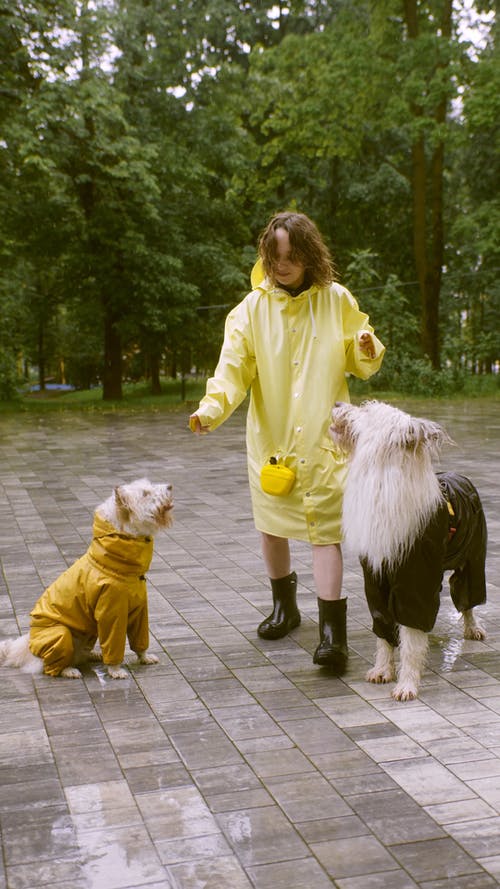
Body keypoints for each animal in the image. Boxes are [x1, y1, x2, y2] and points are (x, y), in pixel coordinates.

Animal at [0, 478, 174, 680]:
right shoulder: (111, 614)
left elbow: (140, 638)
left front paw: (144, 657)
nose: (170, 486)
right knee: (50, 666)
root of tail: (27, 648)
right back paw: (68, 670)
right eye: (145, 493)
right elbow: (114, 643)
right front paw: (115, 670)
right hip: (60, 634)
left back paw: (94, 655)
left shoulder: (139, 610)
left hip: (88, 633)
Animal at [330, 402, 486, 700]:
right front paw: (382, 670)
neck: (383, 482)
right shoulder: (376, 578)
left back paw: (473, 628)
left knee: (468, 598)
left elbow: (412, 638)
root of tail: (459, 475)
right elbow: (383, 629)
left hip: (473, 558)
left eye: (367, 410)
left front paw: (407, 684)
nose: (337, 404)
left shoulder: (415, 579)